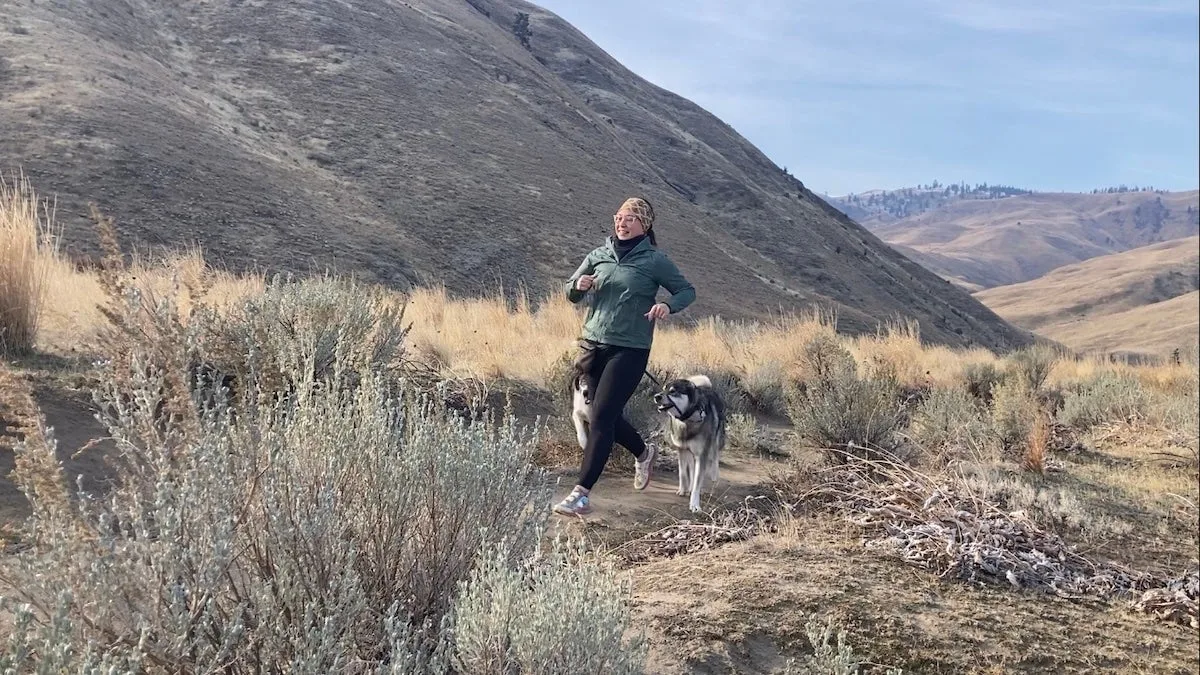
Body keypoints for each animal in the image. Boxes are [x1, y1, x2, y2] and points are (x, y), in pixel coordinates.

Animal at [652, 372, 724, 509]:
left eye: (673, 391)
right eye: (663, 389)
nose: (656, 396)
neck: (687, 418)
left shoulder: (701, 455)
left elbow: (697, 482)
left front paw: (694, 504)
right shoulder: (681, 449)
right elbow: (683, 474)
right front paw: (683, 489)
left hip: (715, 440)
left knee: (715, 456)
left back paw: (714, 475)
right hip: (689, 451)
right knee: (691, 467)